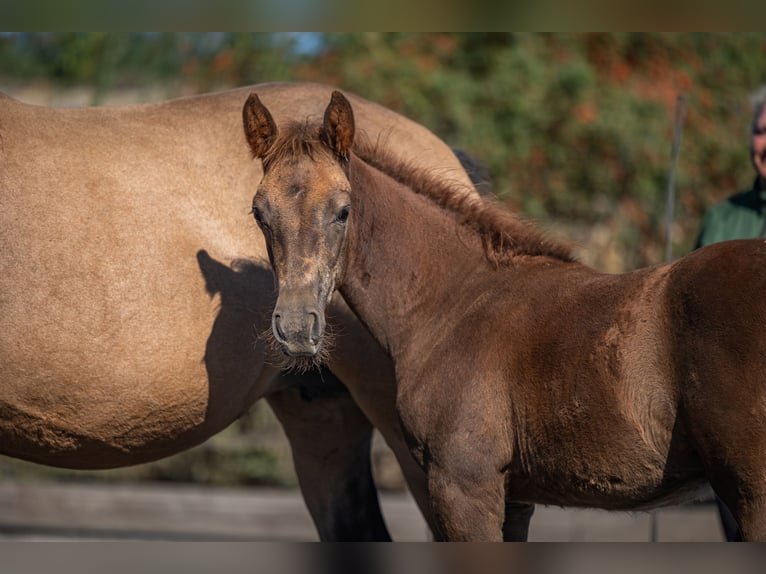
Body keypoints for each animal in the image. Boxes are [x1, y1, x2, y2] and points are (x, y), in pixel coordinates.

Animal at [243, 90, 766, 541]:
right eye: (259, 213)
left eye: (343, 210)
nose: (297, 328)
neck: (455, 301)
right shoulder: (513, 500)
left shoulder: (464, 484)